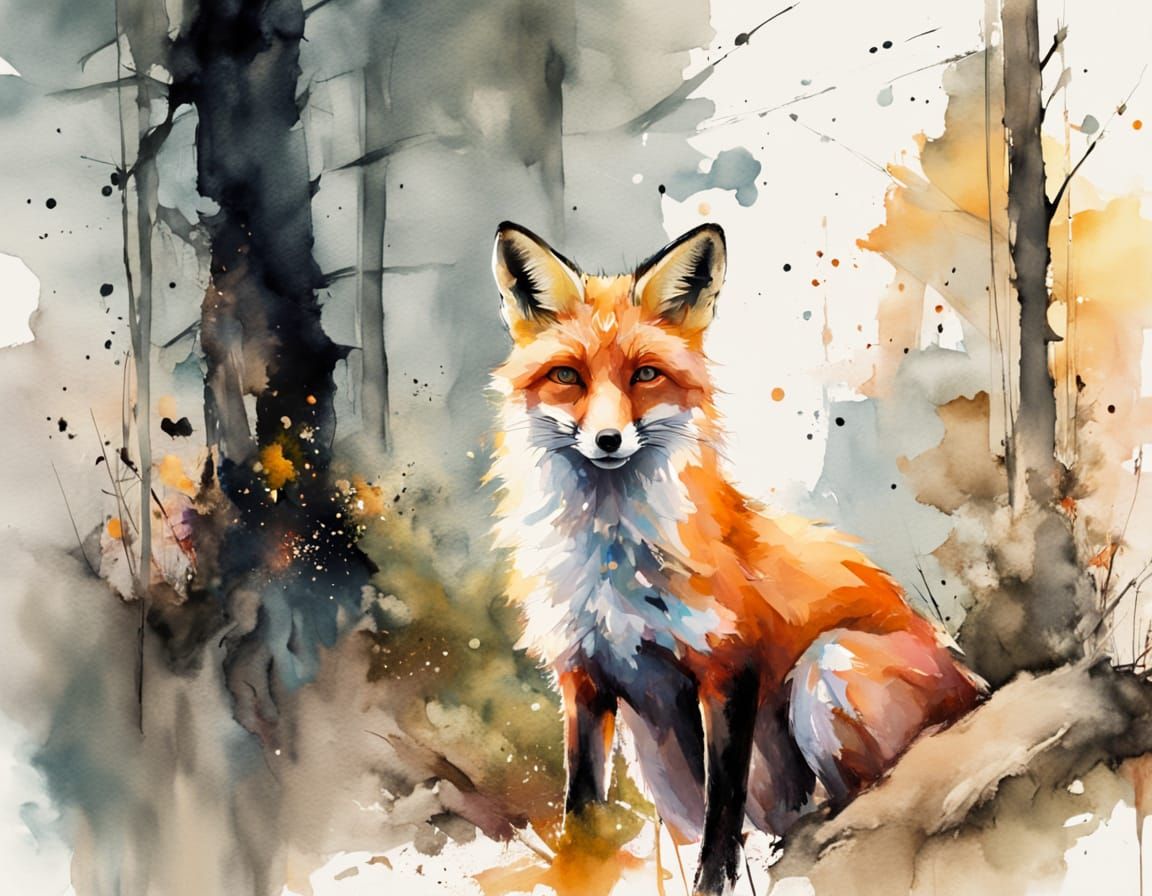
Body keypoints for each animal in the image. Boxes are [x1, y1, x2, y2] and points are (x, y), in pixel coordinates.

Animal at [487, 221, 985, 895]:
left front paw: (713, 882)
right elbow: (582, 815)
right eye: (568, 376)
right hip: (656, 757)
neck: (613, 560)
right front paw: (578, 874)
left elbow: (722, 808)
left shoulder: (729, 665)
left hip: (827, 666)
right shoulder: (584, 678)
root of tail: (977, 685)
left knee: (856, 806)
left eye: (645, 375)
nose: (609, 440)